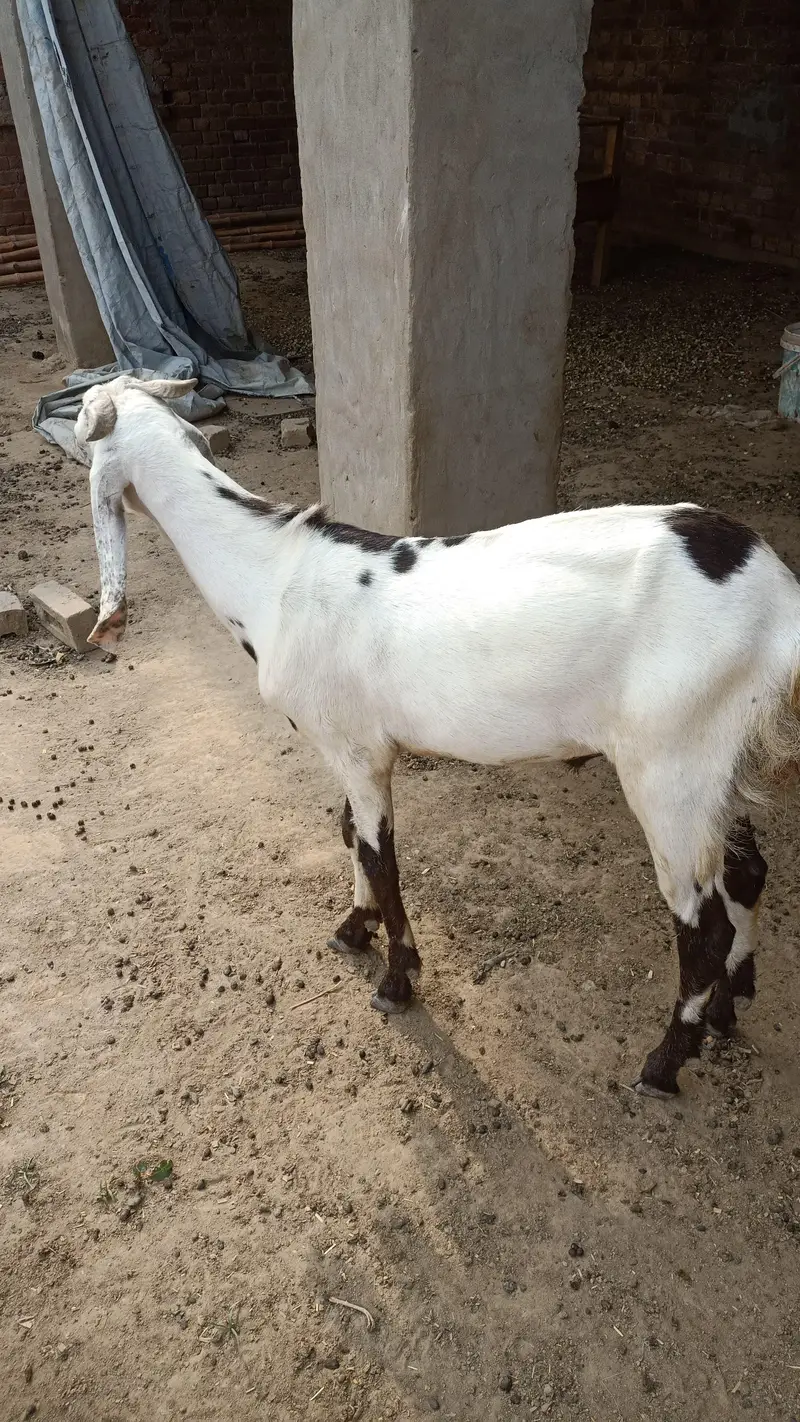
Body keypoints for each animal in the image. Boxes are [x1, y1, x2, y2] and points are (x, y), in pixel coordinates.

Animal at [79, 373, 800, 1099]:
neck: (274, 577)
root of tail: (779, 604)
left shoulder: (356, 749)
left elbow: (379, 856)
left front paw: (397, 979)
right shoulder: (355, 748)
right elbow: (350, 835)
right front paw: (355, 928)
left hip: (670, 764)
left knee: (701, 924)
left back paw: (664, 1061)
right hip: (721, 756)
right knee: (747, 874)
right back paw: (728, 1007)